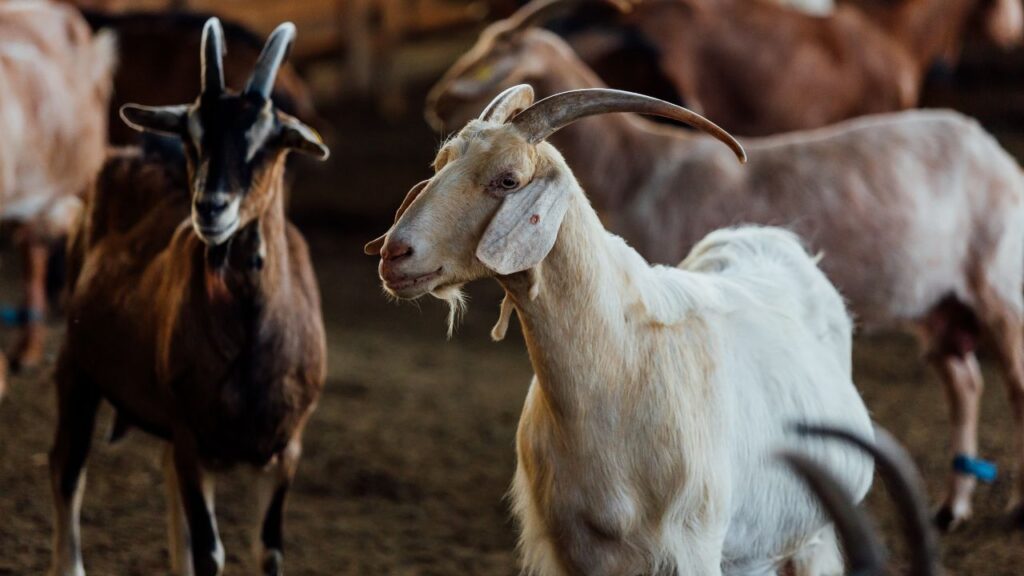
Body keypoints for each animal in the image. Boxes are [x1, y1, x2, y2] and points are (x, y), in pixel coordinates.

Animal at [368, 84, 875, 575]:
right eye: (440, 164)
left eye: (508, 179)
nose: (395, 253)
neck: (617, 369)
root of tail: (768, 236)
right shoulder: (569, 550)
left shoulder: (693, 545)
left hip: (810, 540)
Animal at [427, 23, 1024, 532]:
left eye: (495, 59)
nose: (435, 102)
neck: (639, 169)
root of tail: (996, 153)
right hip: (939, 305)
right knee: (965, 381)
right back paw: (951, 507)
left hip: (999, 288)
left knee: (1013, 384)